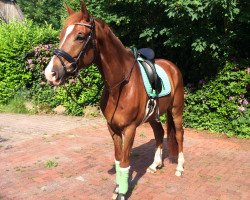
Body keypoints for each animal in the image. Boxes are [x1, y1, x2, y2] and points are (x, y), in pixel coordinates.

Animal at [44, 1, 185, 200]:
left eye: (80, 36)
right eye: (61, 35)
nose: (51, 73)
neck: (120, 85)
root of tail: (172, 67)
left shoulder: (129, 129)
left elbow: (125, 162)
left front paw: (122, 193)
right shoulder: (113, 128)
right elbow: (118, 161)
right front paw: (118, 188)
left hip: (176, 110)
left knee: (179, 135)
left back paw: (179, 168)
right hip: (153, 116)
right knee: (159, 133)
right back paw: (154, 165)